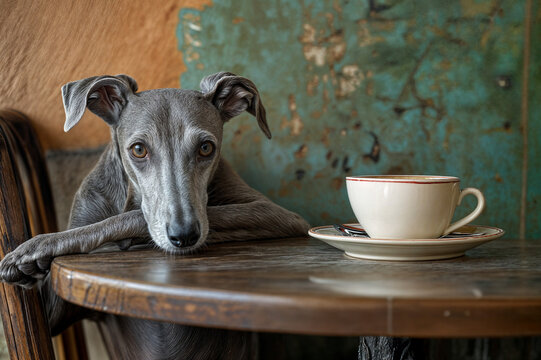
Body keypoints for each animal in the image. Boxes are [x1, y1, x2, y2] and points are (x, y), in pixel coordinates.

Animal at [0, 71, 308, 358]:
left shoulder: (276, 214)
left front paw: (38, 246)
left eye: (206, 147)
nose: (184, 236)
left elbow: (129, 218)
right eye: (138, 149)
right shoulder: (52, 313)